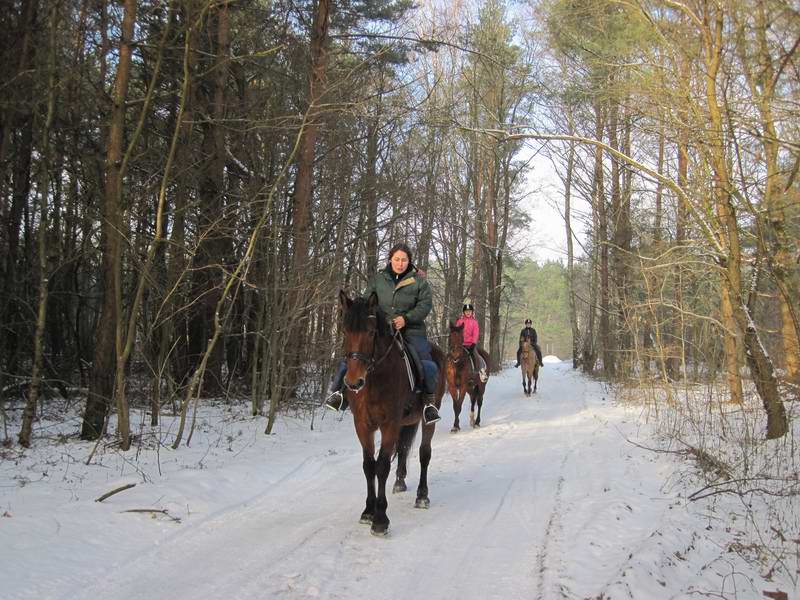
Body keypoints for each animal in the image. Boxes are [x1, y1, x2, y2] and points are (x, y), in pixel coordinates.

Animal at [340, 288, 446, 536]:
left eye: (370, 332)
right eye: (345, 330)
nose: (353, 382)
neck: (374, 379)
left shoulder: (389, 424)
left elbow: (382, 466)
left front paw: (380, 519)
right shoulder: (363, 425)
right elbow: (368, 466)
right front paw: (368, 511)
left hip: (427, 419)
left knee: (425, 453)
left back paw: (422, 496)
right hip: (407, 422)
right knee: (405, 448)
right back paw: (400, 483)